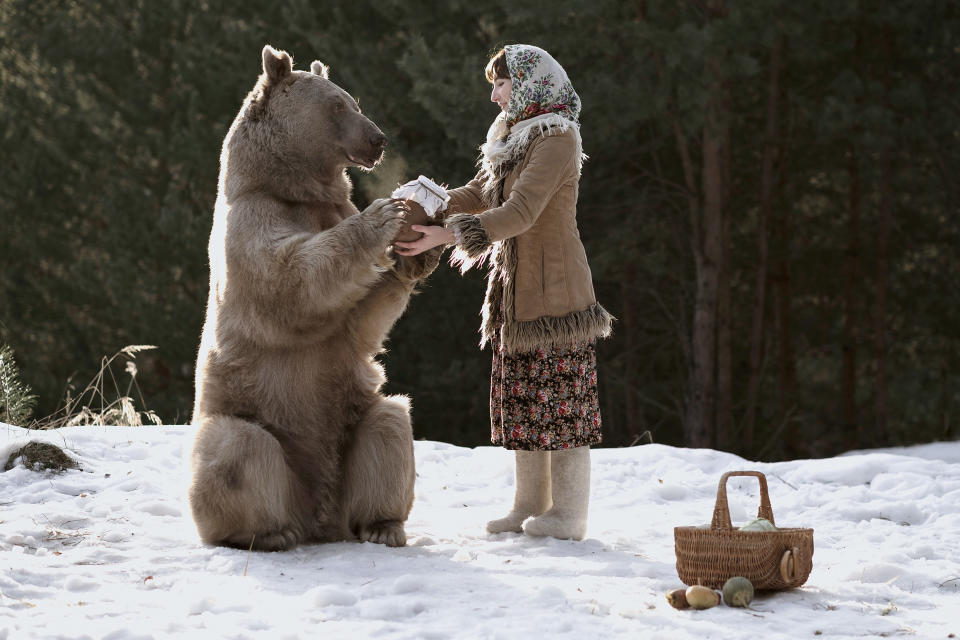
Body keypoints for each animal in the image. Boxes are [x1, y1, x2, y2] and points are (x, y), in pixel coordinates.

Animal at [186, 45, 440, 552]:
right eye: (338, 105)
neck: (292, 187)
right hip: (254, 420)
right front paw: (385, 214)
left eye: (354, 100)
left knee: (390, 422)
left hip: (349, 430)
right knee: (239, 449)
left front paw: (417, 255)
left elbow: (361, 319)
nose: (378, 139)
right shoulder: (252, 221)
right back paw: (268, 532)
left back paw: (383, 526)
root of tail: (318, 517)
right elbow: (291, 279)